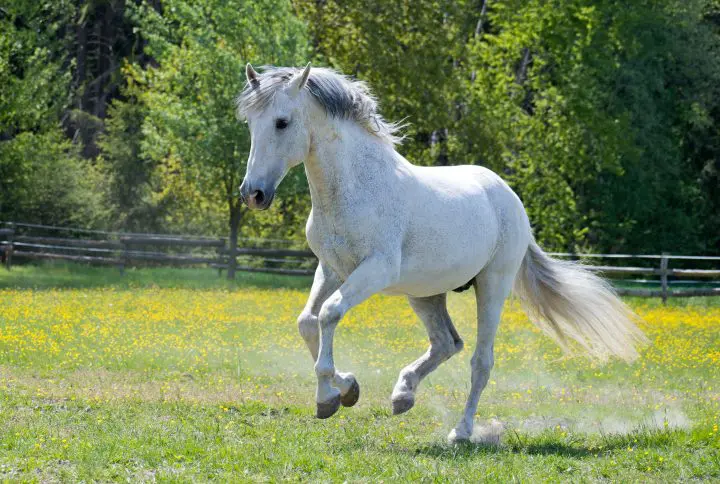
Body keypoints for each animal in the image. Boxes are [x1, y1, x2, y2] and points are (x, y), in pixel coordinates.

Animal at [238, 63, 648, 442]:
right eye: (250, 124)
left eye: (282, 122)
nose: (253, 194)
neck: (355, 187)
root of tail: (509, 198)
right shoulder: (331, 268)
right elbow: (308, 322)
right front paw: (344, 391)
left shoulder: (375, 270)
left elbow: (329, 313)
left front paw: (330, 396)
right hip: (425, 294)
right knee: (446, 343)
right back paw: (403, 396)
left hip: (492, 286)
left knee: (480, 361)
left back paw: (460, 432)